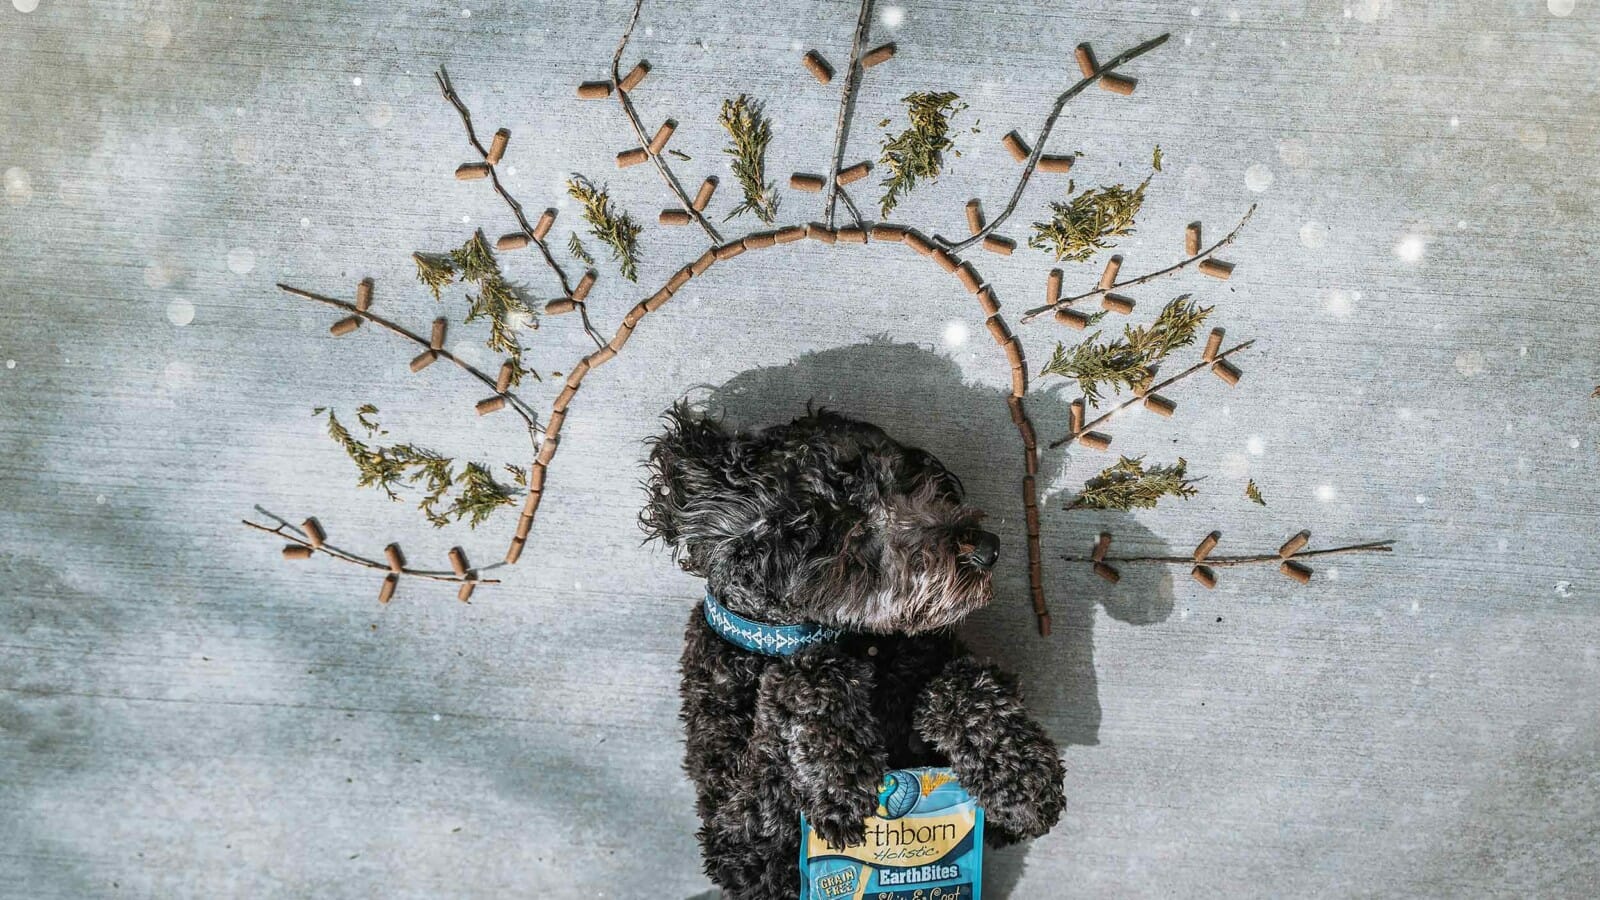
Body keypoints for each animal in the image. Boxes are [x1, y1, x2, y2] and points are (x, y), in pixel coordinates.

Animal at [636, 405, 1062, 896]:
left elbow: (965, 682)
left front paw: (1023, 777)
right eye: (854, 528)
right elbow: (795, 691)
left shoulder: (986, 826)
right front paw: (839, 773)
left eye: (908, 482)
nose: (989, 548)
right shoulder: (741, 852)